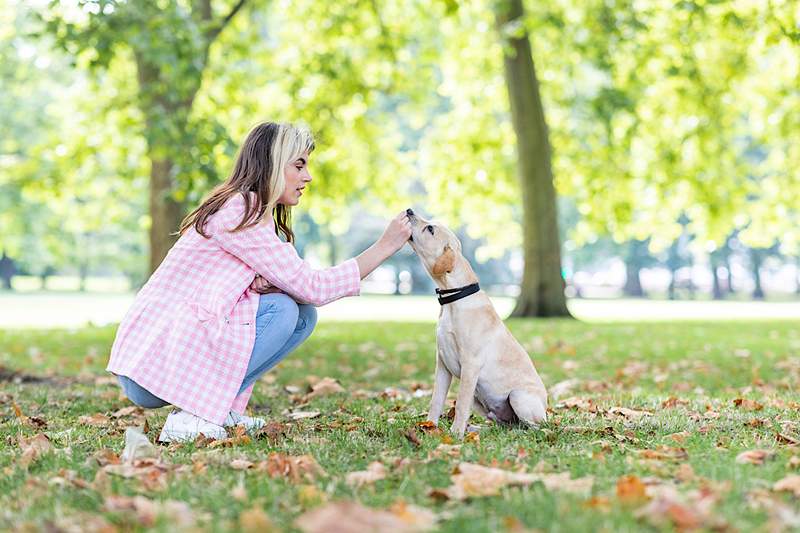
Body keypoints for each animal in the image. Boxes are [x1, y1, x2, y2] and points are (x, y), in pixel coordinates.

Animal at [410, 208, 548, 436]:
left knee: (531, 427)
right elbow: (436, 400)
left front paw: (455, 434)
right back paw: (477, 428)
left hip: (518, 397)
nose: (408, 211)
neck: (454, 299)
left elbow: (461, 404)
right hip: (481, 398)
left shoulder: (470, 365)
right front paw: (430, 426)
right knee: (501, 425)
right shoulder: (442, 364)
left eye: (430, 228)